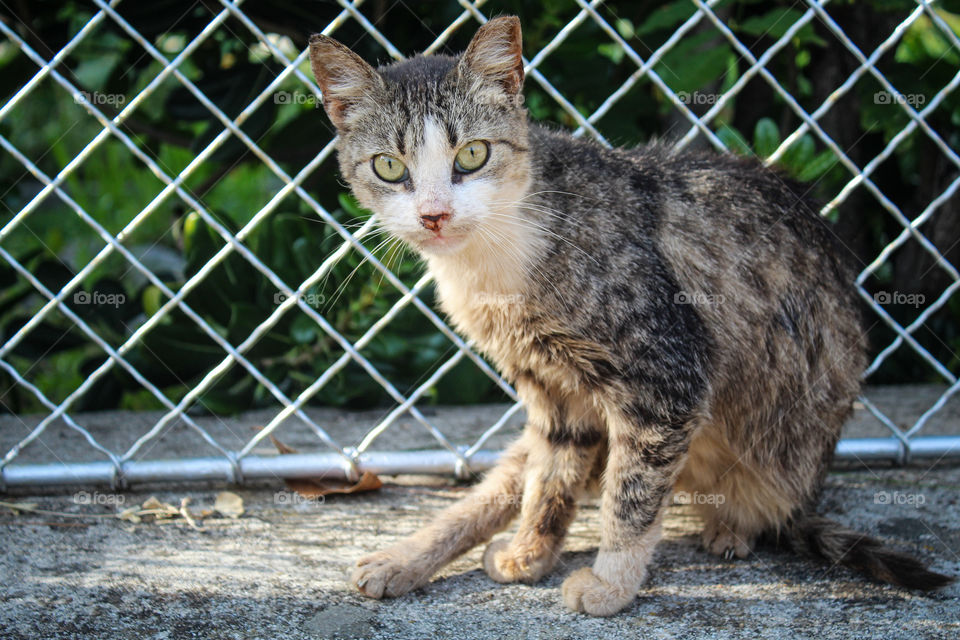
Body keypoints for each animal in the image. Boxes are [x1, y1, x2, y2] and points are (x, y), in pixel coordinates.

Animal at [310, 15, 952, 616]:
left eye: (472, 153)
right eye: (389, 167)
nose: (435, 214)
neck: (495, 264)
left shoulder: (665, 381)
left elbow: (632, 496)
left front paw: (611, 584)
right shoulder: (555, 394)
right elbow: (548, 482)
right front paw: (531, 552)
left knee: (756, 501)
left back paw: (732, 525)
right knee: (504, 484)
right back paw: (404, 558)